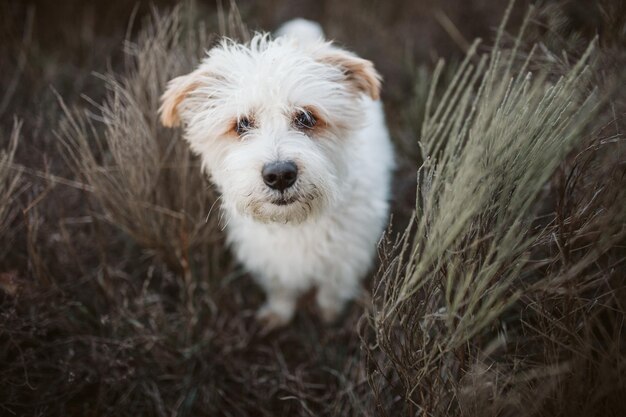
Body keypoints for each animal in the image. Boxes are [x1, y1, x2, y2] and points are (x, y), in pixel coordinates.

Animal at [162, 17, 394, 328]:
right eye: (242, 124)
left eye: (306, 117)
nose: (280, 175)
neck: (295, 223)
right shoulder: (270, 259)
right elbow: (281, 289)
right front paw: (278, 314)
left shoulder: (347, 256)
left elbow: (332, 289)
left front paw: (329, 315)